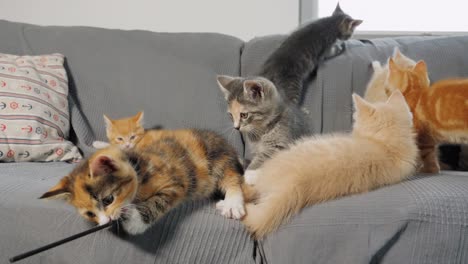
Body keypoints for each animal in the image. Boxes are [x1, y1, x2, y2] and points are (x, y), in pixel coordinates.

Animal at [41, 129, 247, 234]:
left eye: (108, 200)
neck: (138, 170)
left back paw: (232, 203)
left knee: (231, 177)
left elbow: (159, 202)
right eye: (90, 214)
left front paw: (134, 221)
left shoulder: (175, 181)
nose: (106, 221)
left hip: (218, 157)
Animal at [217, 4, 362, 186]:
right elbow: (334, 48)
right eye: (231, 116)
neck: (326, 23)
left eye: (243, 115)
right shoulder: (326, 49)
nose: (236, 127)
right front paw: (342, 44)